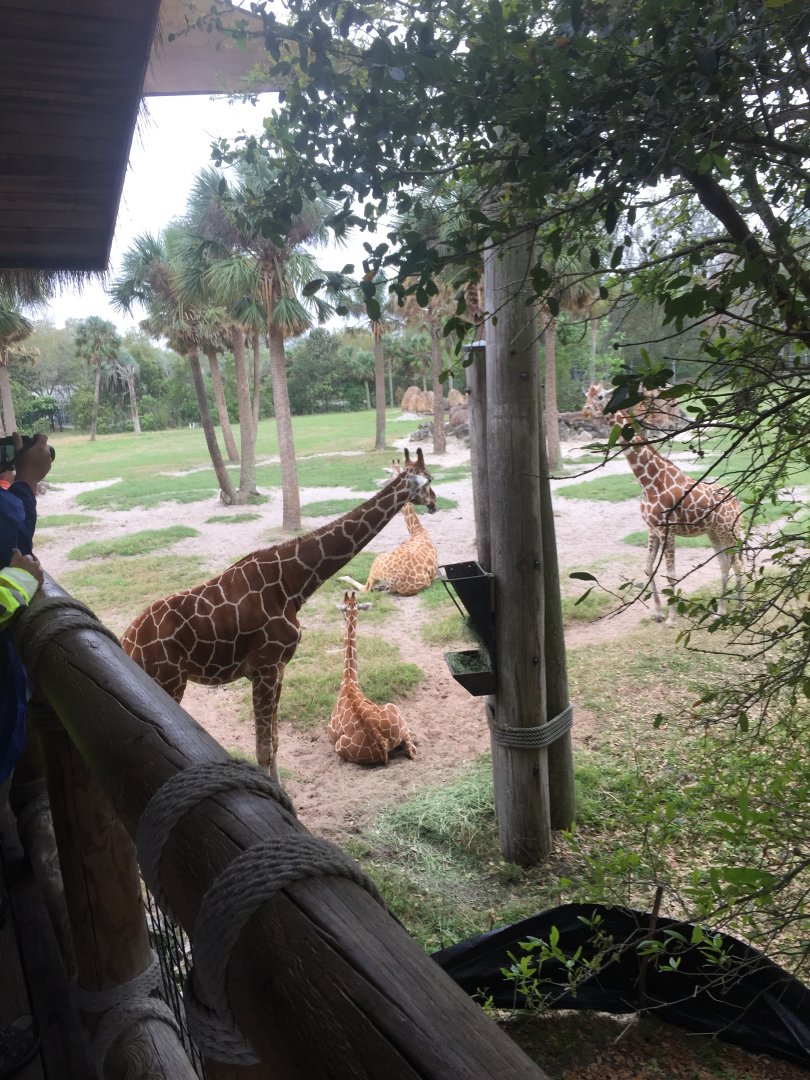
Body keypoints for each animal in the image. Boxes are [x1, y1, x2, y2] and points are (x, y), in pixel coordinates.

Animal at [327, 591, 417, 765]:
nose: (343, 618)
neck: (349, 678)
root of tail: (382, 742)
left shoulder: (329, 729)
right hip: (394, 711)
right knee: (411, 751)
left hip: (339, 746)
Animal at [582, 383, 743, 626]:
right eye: (586, 396)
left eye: (600, 396)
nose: (585, 411)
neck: (649, 482)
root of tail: (737, 502)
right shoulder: (652, 528)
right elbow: (648, 568)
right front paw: (658, 612)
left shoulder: (667, 529)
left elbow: (671, 573)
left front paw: (672, 617)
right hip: (714, 532)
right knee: (725, 563)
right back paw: (721, 611)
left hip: (728, 530)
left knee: (737, 562)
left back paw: (743, 606)